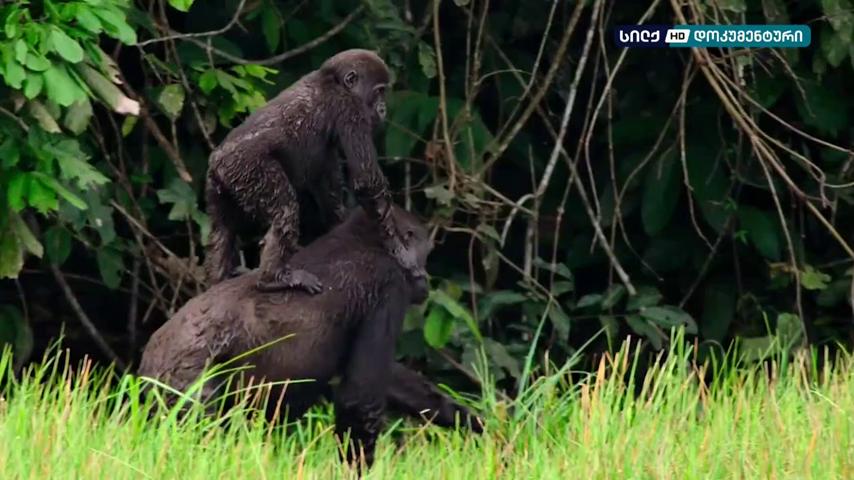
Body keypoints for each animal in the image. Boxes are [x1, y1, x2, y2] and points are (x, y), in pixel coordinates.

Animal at [139, 205, 482, 468]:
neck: (371, 241)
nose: (426, 279)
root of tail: (148, 359)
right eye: (424, 253)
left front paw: (465, 420)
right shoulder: (390, 285)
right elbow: (361, 395)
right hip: (185, 377)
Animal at [204, 49, 423, 294]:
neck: (333, 80)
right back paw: (273, 278)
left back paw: (221, 276)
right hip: (247, 169)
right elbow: (367, 181)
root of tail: (217, 162)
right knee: (285, 209)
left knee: (222, 231)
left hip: (219, 188)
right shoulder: (351, 110)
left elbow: (328, 186)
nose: (382, 108)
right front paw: (400, 251)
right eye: (379, 91)